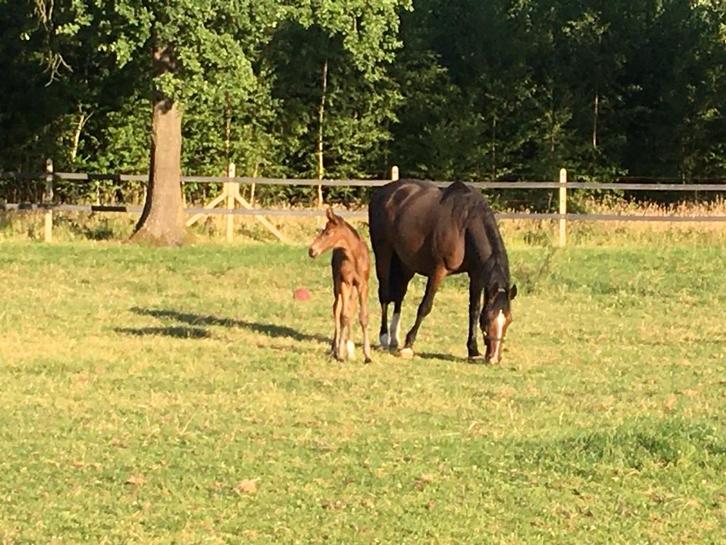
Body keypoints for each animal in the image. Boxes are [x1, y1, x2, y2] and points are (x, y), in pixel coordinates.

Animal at [308, 208, 373, 363]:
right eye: (323, 230)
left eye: (328, 232)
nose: (311, 251)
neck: (355, 257)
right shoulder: (345, 282)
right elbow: (343, 315)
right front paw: (341, 354)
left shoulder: (362, 284)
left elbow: (362, 316)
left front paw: (367, 355)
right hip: (337, 285)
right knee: (337, 309)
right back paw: (336, 348)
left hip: (353, 290)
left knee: (351, 308)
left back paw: (350, 348)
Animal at [368, 179, 517, 362]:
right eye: (489, 319)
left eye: (509, 320)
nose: (494, 358)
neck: (465, 225)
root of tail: (381, 193)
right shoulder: (438, 271)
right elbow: (425, 307)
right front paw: (409, 344)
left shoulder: (476, 276)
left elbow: (474, 311)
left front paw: (473, 350)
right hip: (384, 254)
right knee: (385, 294)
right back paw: (384, 338)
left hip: (405, 263)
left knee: (399, 296)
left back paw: (394, 339)